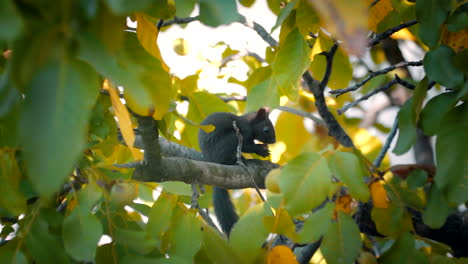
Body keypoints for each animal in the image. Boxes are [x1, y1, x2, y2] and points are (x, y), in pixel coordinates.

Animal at [198, 106, 278, 235]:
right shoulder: (244, 133)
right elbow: (247, 146)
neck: (249, 124)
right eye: (266, 129)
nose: (273, 140)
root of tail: (213, 161)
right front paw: (261, 149)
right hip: (231, 139)